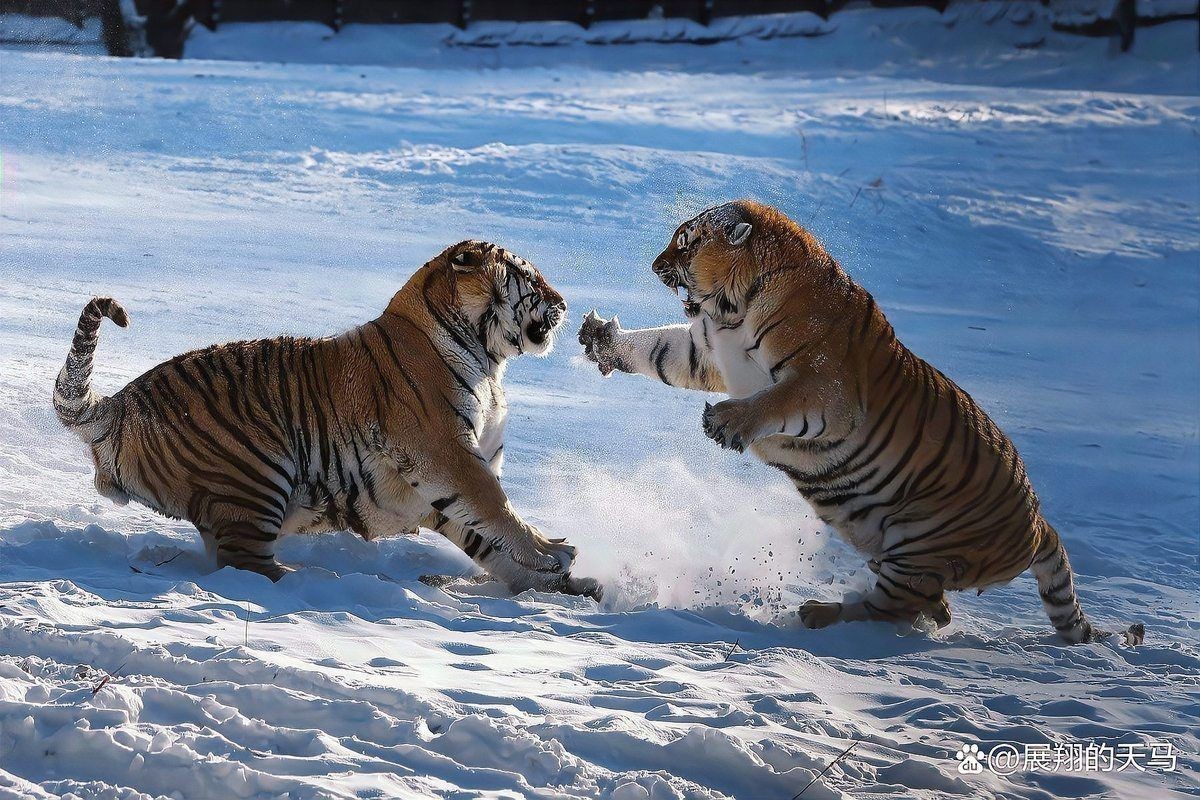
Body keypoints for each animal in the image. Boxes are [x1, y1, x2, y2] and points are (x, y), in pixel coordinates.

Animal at [54, 240, 600, 600]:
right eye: (531, 280)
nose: (565, 304)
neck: (490, 361)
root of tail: (120, 403)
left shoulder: (434, 481)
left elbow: (483, 534)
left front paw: (556, 582)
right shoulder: (446, 453)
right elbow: (496, 507)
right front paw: (551, 553)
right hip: (257, 473)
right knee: (245, 566)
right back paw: (313, 584)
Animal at [579, 200, 1139, 643]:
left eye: (685, 243)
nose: (655, 264)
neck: (736, 308)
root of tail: (1039, 523)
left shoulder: (825, 390)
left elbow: (775, 402)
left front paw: (726, 421)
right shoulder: (707, 352)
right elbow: (658, 349)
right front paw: (601, 338)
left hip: (917, 546)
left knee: (892, 607)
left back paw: (817, 614)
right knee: (929, 608)